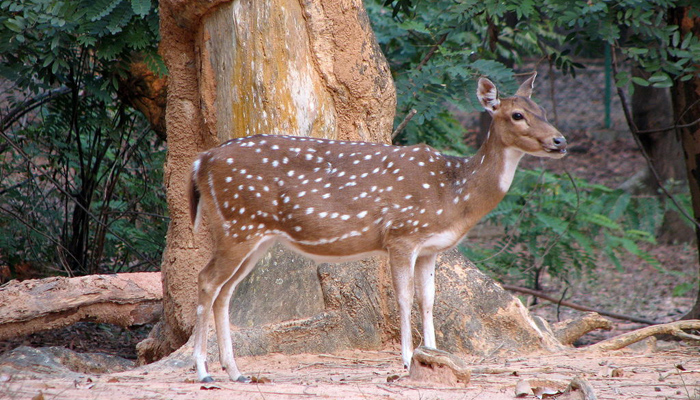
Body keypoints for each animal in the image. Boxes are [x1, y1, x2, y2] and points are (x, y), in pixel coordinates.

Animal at [188, 73, 567, 383]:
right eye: (517, 115)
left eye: (543, 110)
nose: (560, 141)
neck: (454, 194)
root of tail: (200, 162)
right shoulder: (402, 234)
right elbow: (404, 297)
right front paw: (406, 361)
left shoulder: (431, 248)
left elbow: (428, 298)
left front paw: (435, 357)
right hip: (237, 224)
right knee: (206, 280)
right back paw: (204, 370)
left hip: (255, 236)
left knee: (226, 291)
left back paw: (235, 371)